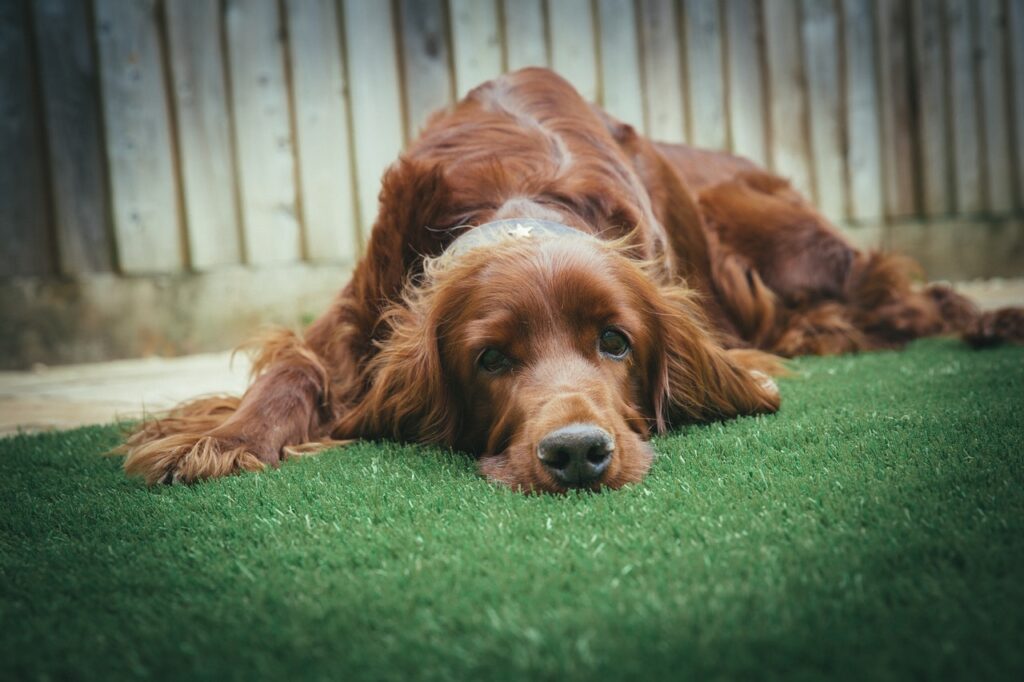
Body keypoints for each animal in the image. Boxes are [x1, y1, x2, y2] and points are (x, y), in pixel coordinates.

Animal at [121, 67, 1024, 489]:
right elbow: (293, 374)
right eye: (491, 359)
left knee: (917, 294)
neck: (521, 191)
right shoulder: (351, 322)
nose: (580, 452)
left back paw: (993, 322)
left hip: (801, 251)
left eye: (615, 342)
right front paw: (225, 438)